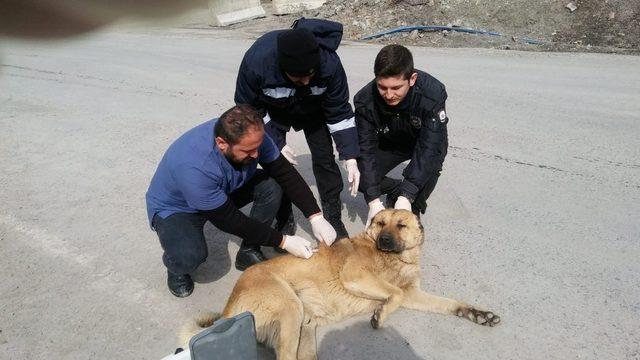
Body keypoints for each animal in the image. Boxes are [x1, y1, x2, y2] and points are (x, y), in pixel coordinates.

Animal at [179, 210, 500, 358]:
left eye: (401, 225)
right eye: (380, 223)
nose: (385, 239)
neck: (394, 259)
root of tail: (229, 308)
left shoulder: (414, 294)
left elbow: (448, 303)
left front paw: (477, 313)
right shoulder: (357, 276)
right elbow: (393, 293)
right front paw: (380, 315)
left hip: (304, 327)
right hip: (289, 306)